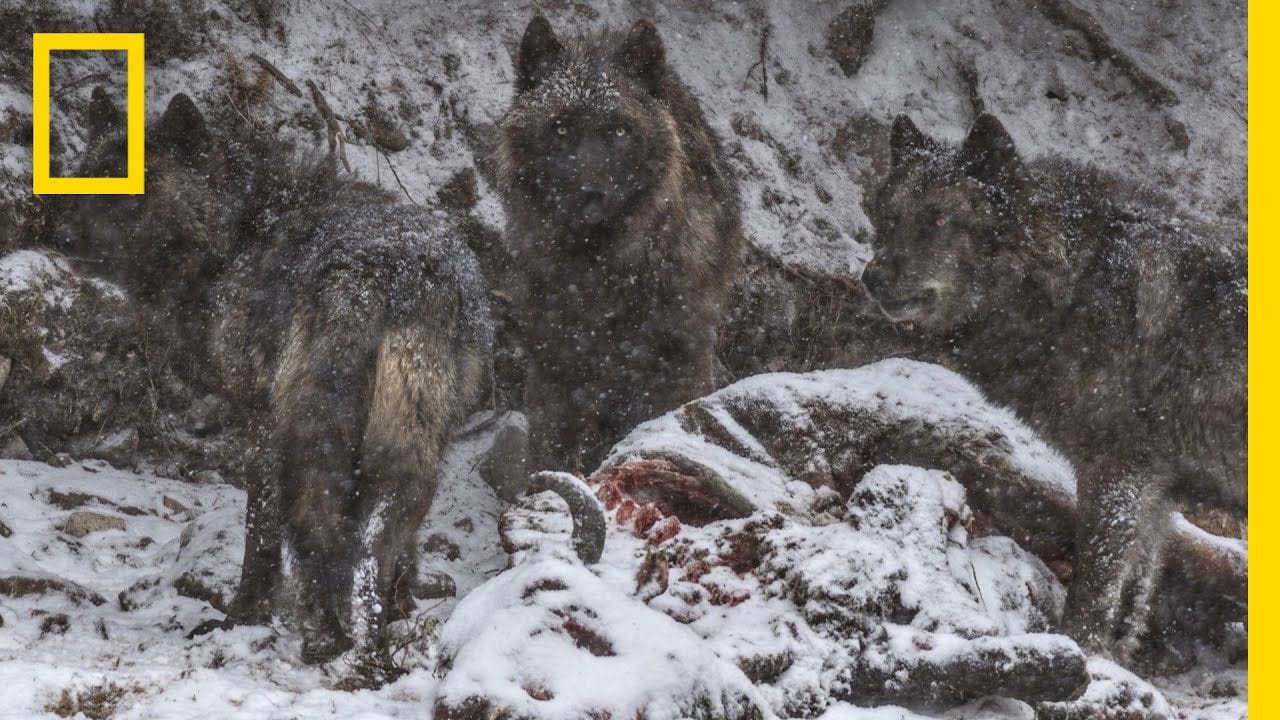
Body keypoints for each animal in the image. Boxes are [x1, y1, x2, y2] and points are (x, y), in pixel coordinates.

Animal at [61, 92, 515, 679]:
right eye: (84, 176)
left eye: (131, 190)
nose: (60, 236)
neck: (240, 229)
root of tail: (377, 278)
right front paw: (404, 605)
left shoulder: (258, 420)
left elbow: (260, 531)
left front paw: (242, 617)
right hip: (408, 446)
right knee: (374, 540)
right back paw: (371, 639)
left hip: (308, 439)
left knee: (318, 525)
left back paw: (326, 638)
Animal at [494, 16, 744, 474]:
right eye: (560, 127)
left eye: (620, 129)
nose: (590, 197)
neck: (600, 270)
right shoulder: (558, 368)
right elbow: (550, 451)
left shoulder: (674, 361)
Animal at [860, 113, 1246, 662]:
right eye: (890, 218)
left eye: (939, 219)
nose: (871, 278)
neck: (1075, 283)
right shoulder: (1157, 487)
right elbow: (1135, 595)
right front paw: (1114, 662)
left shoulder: (1117, 470)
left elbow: (1095, 584)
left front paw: (1077, 650)